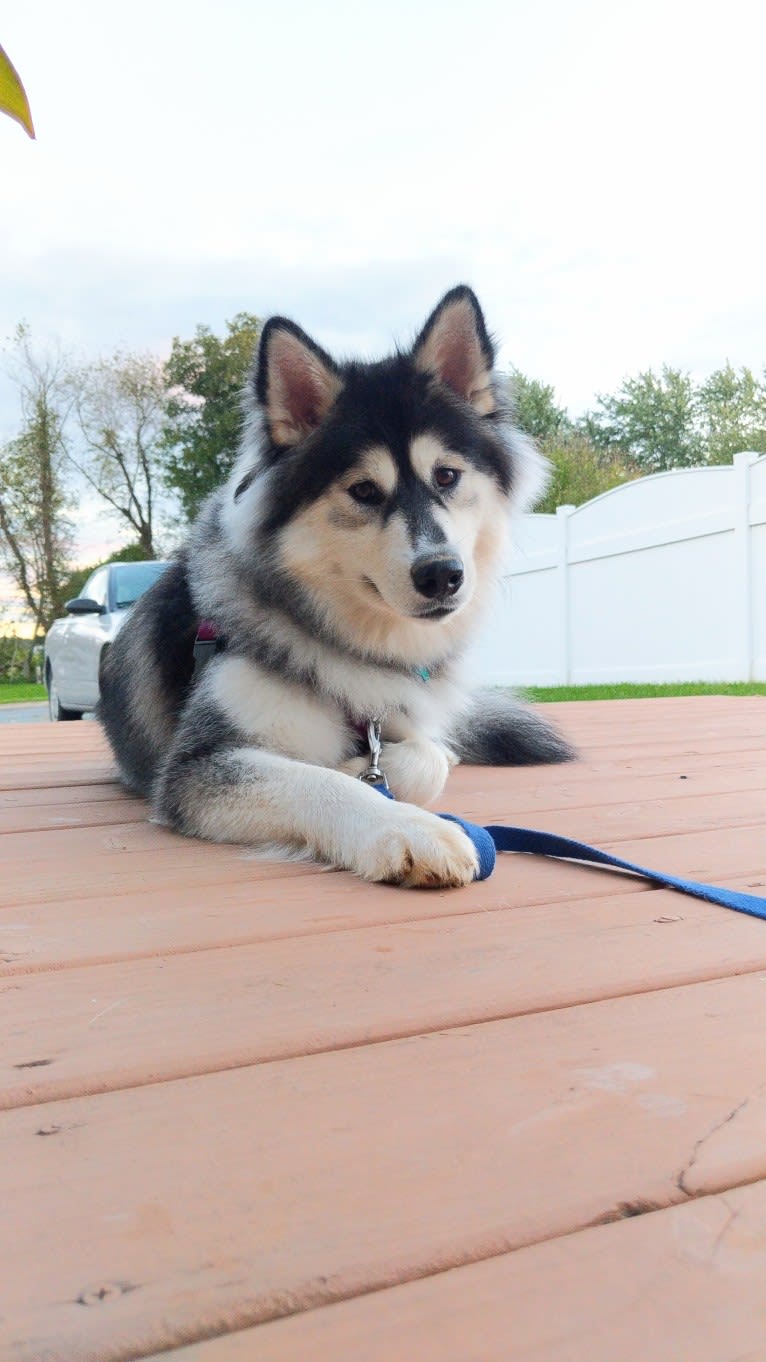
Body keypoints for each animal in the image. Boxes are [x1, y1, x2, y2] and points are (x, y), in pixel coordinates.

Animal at [98, 284, 569, 882]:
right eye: (364, 490)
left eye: (446, 475)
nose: (442, 574)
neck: (353, 642)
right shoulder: (196, 766)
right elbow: (317, 780)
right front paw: (404, 824)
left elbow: (425, 759)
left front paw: (367, 765)